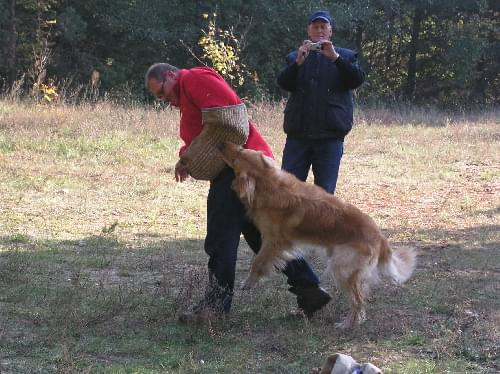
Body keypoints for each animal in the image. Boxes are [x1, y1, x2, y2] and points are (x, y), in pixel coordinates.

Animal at [220, 142, 418, 328]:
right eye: (241, 149)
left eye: (238, 155)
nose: (222, 144)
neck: (268, 181)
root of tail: (380, 238)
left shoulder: (273, 241)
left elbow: (258, 262)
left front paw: (248, 282)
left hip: (341, 268)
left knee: (358, 300)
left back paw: (347, 325)